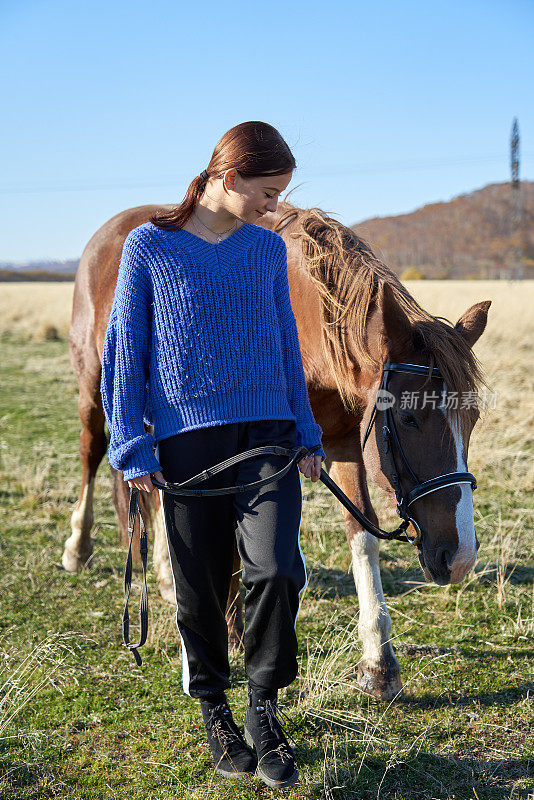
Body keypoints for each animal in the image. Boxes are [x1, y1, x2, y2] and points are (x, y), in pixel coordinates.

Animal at [62, 198, 490, 700]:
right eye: (408, 419)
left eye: (472, 419)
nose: (460, 559)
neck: (305, 322)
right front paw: (218, 640)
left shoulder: (342, 442)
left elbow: (361, 535)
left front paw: (378, 663)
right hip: (95, 390)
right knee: (93, 457)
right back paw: (79, 547)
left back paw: (168, 577)